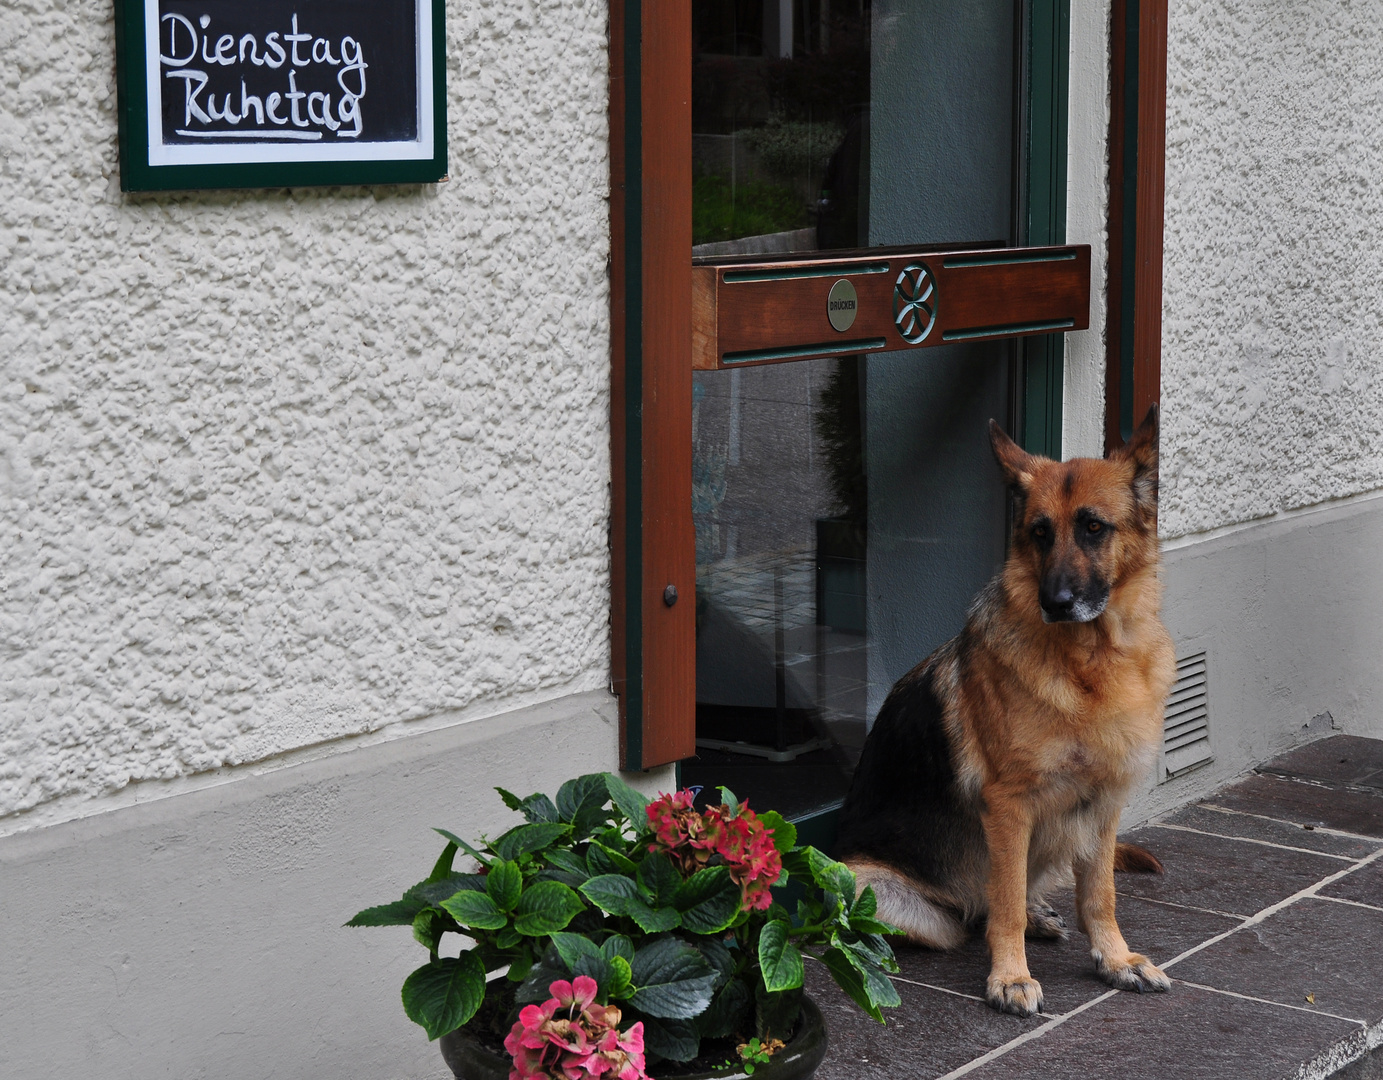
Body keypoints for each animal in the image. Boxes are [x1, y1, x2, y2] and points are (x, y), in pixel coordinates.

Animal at [835, 409, 1172, 1017]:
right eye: (1040, 532)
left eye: (1093, 528)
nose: (1054, 602)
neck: (1089, 662)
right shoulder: (1010, 807)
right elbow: (1008, 901)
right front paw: (1011, 977)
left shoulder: (1103, 805)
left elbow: (1100, 895)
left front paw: (1116, 960)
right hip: (876, 888)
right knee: (970, 917)